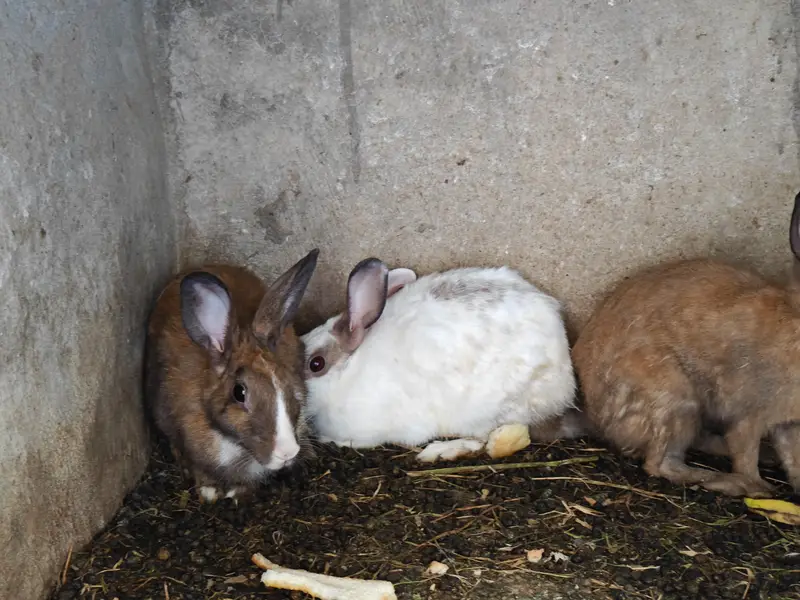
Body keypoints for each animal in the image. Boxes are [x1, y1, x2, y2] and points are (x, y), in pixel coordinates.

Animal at [299, 258, 577, 462]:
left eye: (316, 364)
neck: (347, 372)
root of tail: (564, 384)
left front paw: (329, 441)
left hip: (484, 413)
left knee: (482, 441)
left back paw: (438, 452)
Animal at [531, 192, 800, 498]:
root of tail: (596, 417)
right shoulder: (751, 411)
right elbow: (744, 452)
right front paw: (757, 488)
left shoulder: (788, 423)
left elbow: (793, 457)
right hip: (675, 402)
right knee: (660, 464)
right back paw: (721, 481)